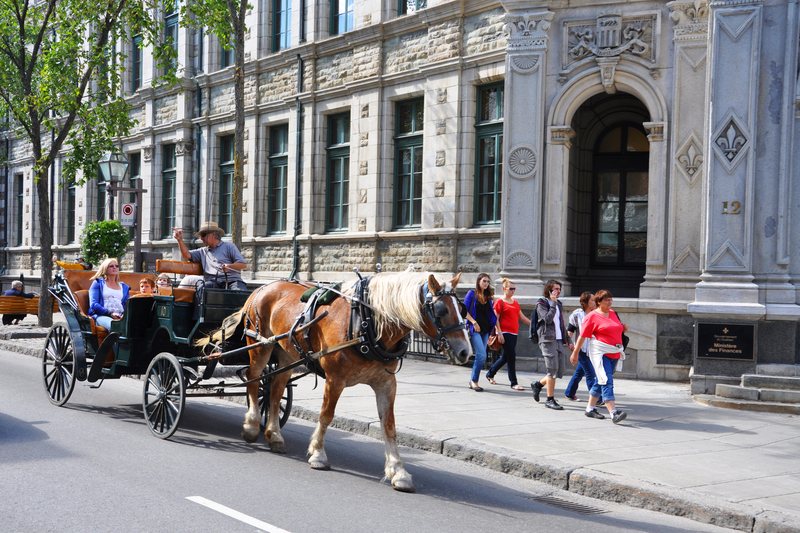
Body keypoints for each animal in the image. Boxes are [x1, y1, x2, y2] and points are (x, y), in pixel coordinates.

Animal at [206, 272, 472, 492]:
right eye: (441, 310)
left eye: (462, 308)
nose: (465, 352)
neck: (365, 321)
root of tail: (262, 288)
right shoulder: (335, 379)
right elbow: (326, 415)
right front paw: (318, 454)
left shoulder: (386, 383)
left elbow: (389, 427)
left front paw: (398, 472)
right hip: (260, 345)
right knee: (253, 381)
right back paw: (252, 426)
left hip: (286, 353)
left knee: (275, 390)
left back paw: (274, 435)